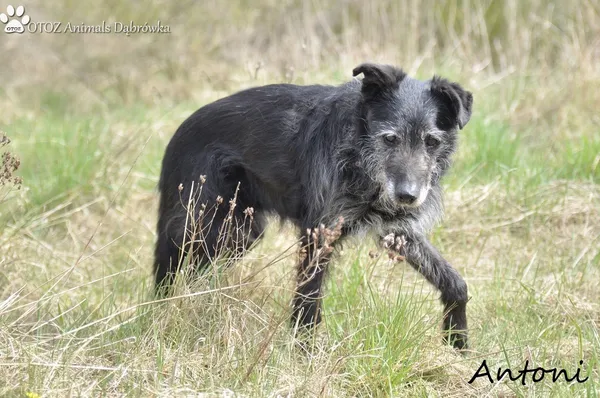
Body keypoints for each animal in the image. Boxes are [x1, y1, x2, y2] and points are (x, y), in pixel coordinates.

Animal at [155, 62, 474, 348]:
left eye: (431, 142)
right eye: (390, 138)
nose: (407, 196)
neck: (358, 153)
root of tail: (180, 131)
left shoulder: (399, 233)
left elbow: (456, 283)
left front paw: (457, 341)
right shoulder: (318, 235)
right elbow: (308, 303)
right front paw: (302, 355)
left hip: (239, 233)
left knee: (196, 271)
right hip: (202, 224)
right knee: (169, 264)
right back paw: (161, 312)